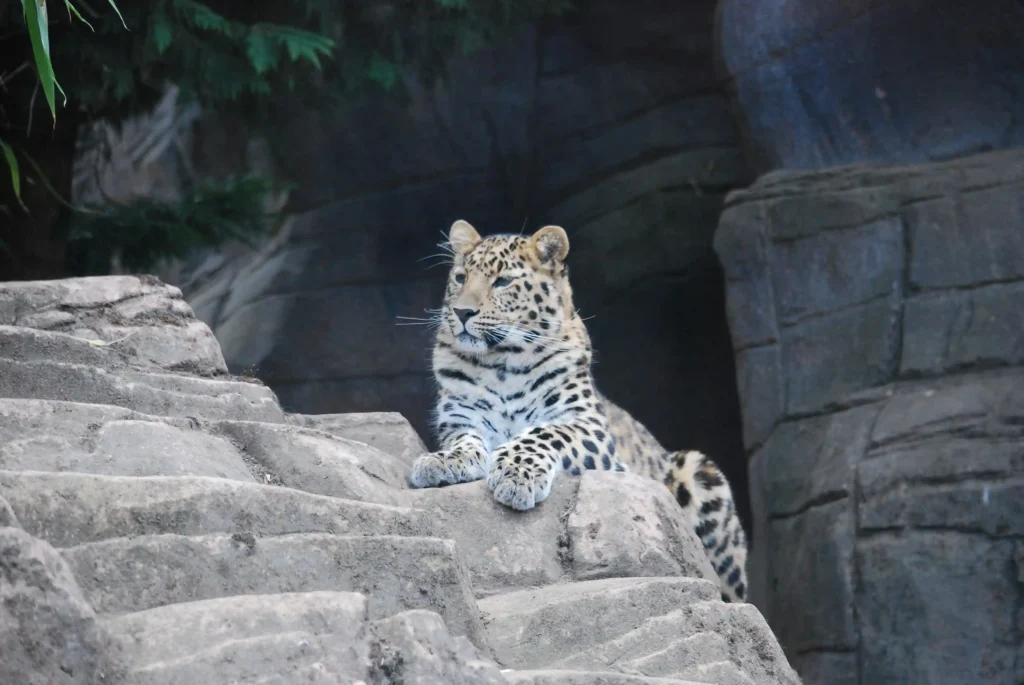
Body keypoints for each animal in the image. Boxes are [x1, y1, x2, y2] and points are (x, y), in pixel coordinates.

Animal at [407, 220, 753, 602]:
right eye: (460, 277)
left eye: (502, 281)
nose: (462, 312)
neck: (502, 363)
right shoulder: (460, 419)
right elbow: (464, 441)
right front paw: (444, 462)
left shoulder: (589, 428)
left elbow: (543, 432)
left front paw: (516, 474)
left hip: (699, 472)